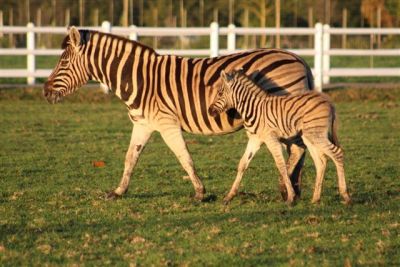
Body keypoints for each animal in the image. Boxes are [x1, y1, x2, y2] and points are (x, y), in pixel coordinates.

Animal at [43, 27, 312, 202]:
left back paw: (287, 189)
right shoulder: (142, 124)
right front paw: (118, 192)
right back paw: (291, 189)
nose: (45, 91)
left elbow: (184, 157)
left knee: (297, 150)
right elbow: (130, 158)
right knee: (297, 150)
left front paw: (200, 193)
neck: (139, 80)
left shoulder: (167, 124)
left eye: (63, 63)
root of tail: (299, 58)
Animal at [208, 69, 352, 205]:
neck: (253, 109)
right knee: (321, 161)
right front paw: (228, 197)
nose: (210, 111)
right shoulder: (255, 139)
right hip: (310, 137)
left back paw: (345, 196)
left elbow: (281, 165)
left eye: (219, 93)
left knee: (337, 153)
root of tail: (328, 101)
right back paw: (315, 199)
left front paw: (291, 197)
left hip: (316, 135)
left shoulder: (271, 139)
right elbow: (242, 164)